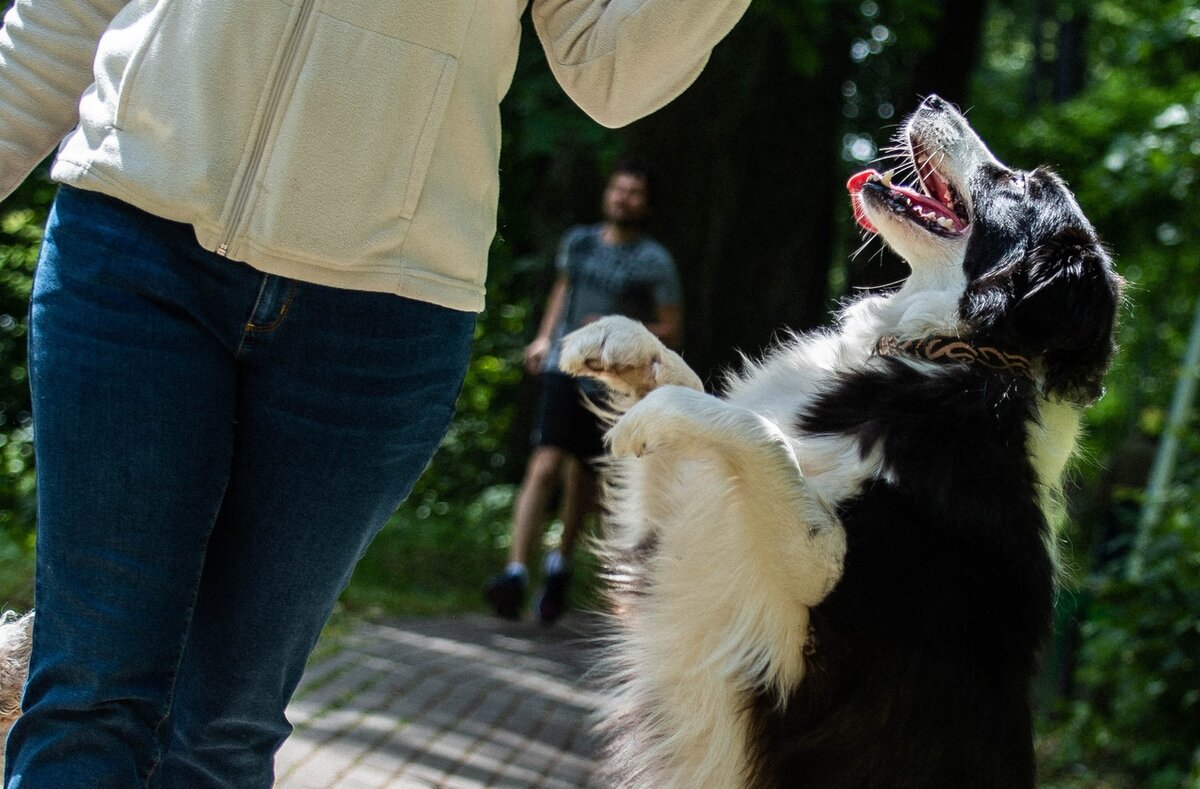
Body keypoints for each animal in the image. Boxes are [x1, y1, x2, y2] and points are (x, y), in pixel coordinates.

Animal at [561, 95, 1123, 781]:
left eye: (1022, 184)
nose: (933, 100)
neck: (961, 359)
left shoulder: (824, 578)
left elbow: (758, 434)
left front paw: (658, 408)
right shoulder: (680, 521)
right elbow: (694, 387)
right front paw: (619, 344)